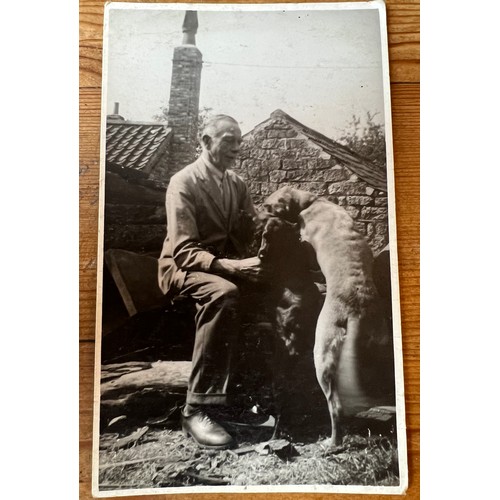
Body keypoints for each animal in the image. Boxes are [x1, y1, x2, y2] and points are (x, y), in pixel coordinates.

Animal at [264, 187, 396, 446]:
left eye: (269, 204)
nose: (259, 208)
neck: (314, 202)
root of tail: (356, 306)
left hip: (321, 357)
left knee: (335, 407)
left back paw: (332, 442)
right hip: (376, 346)